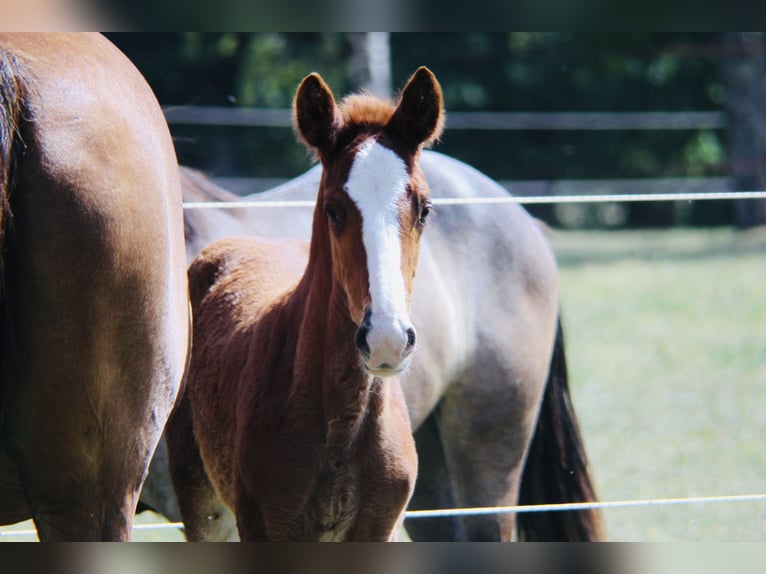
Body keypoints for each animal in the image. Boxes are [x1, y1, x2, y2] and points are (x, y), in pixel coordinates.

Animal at [165, 67, 444, 541]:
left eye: (424, 209)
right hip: (202, 499)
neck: (344, 425)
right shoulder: (263, 523)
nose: (386, 340)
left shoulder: (379, 527)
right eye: (333, 210)